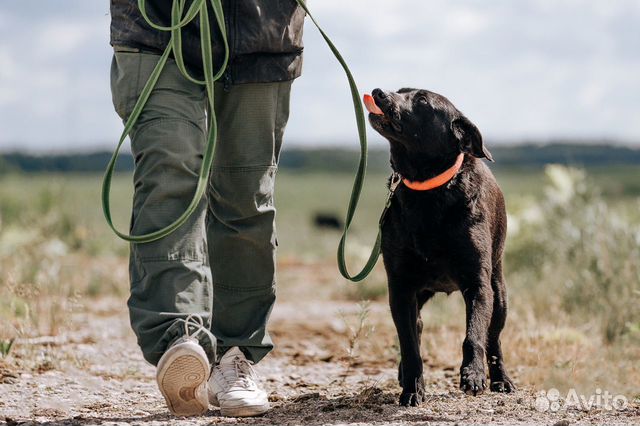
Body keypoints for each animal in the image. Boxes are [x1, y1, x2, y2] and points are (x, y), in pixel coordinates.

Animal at [364, 87, 516, 406]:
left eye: (422, 100)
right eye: (401, 89)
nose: (378, 92)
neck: (427, 190)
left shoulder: (478, 284)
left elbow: (474, 334)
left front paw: (473, 375)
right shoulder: (401, 287)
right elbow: (409, 344)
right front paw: (412, 389)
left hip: (499, 293)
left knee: (493, 337)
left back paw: (501, 379)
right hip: (420, 291)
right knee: (418, 325)